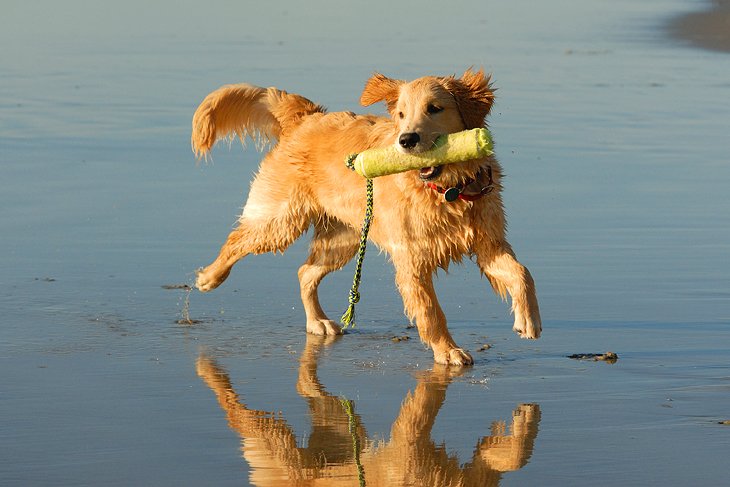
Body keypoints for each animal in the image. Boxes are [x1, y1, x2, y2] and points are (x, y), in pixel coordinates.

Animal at [191, 68, 536, 366]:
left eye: (434, 108)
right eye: (401, 115)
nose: (406, 140)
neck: (449, 190)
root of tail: (308, 116)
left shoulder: (488, 244)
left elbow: (522, 273)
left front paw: (527, 320)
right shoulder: (411, 259)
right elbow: (430, 312)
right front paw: (448, 351)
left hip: (343, 238)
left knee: (305, 272)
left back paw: (317, 321)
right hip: (281, 220)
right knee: (237, 240)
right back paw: (209, 278)